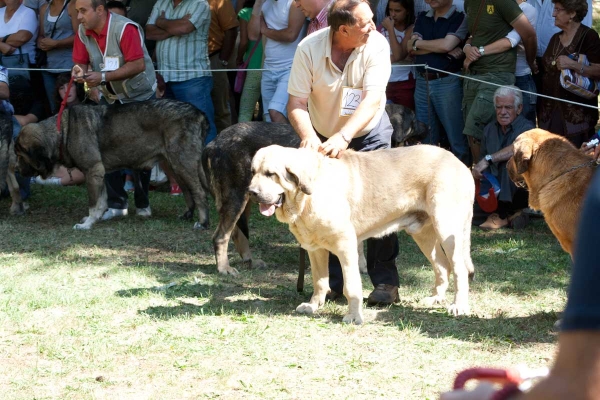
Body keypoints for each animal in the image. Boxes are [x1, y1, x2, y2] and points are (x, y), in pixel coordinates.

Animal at [14, 99, 211, 230]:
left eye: (20, 156)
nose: (15, 169)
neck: (62, 132)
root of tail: (199, 114)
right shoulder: (98, 174)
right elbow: (101, 202)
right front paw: (95, 219)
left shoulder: (93, 171)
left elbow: (93, 203)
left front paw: (87, 224)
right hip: (174, 165)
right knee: (188, 192)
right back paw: (187, 215)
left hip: (183, 163)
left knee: (199, 193)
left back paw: (203, 223)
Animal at [204, 104, 424, 276]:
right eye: (414, 119)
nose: (428, 126)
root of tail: (215, 141)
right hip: (236, 197)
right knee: (221, 236)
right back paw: (224, 268)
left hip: (251, 198)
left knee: (236, 232)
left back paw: (249, 260)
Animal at [247, 145, 474, 324]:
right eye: (253, 171)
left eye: (271, 174)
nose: (251, 192)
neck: (307, 197)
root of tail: (460, 163)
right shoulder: (316, 249)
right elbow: (320, 281)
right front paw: (313, 306)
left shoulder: (346, 246)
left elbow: (352, 286)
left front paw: (354, 316)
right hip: (423, 233)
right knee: (442, 266)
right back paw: (436, 298)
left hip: (447, 228)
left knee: (459, 269)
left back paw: (459, 306)